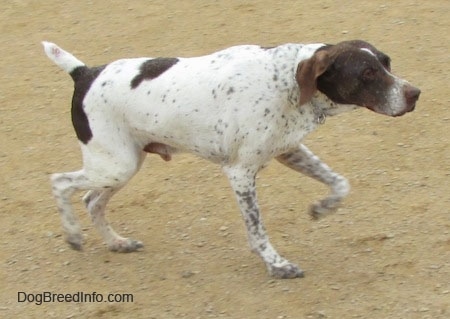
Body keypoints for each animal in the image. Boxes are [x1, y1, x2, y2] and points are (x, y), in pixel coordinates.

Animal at [42, 40, 418, 280]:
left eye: (387, 63)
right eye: (367, 73)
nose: (415, 94)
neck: (285, 81)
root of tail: (84, 72)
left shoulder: (288, 150)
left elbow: (340, 183)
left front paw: (322, 208)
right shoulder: (240, 173)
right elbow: (257, 230)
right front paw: (277, 264)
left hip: (122, 166)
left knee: (92, 200)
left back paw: (117, 242)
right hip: (114, 166)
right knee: (60, 182)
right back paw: (73, 235)